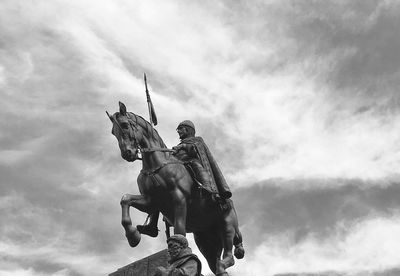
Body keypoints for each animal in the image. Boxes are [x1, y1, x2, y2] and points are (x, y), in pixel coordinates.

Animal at [106, 102, 244, 274]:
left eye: (125, 125)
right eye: (113, 132)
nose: (128, 153)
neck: (156, 165)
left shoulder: (179, 200)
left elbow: (179, 230)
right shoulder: (151, 201)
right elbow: (125, 199)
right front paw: (133, 236)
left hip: (227, 226)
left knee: (229, 256)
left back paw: (222, 266)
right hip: (205, 241)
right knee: (215, 261)